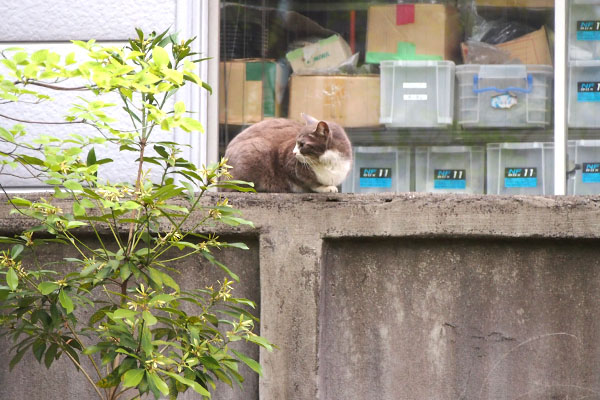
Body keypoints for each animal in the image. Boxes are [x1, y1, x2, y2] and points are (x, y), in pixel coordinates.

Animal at [221, 114, 352, 194]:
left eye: (302, 144)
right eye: (295, 142)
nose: (294, 152)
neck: (327, 163)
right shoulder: (287, 162)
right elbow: (309, 182)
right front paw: (326, 188)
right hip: (256, 149)